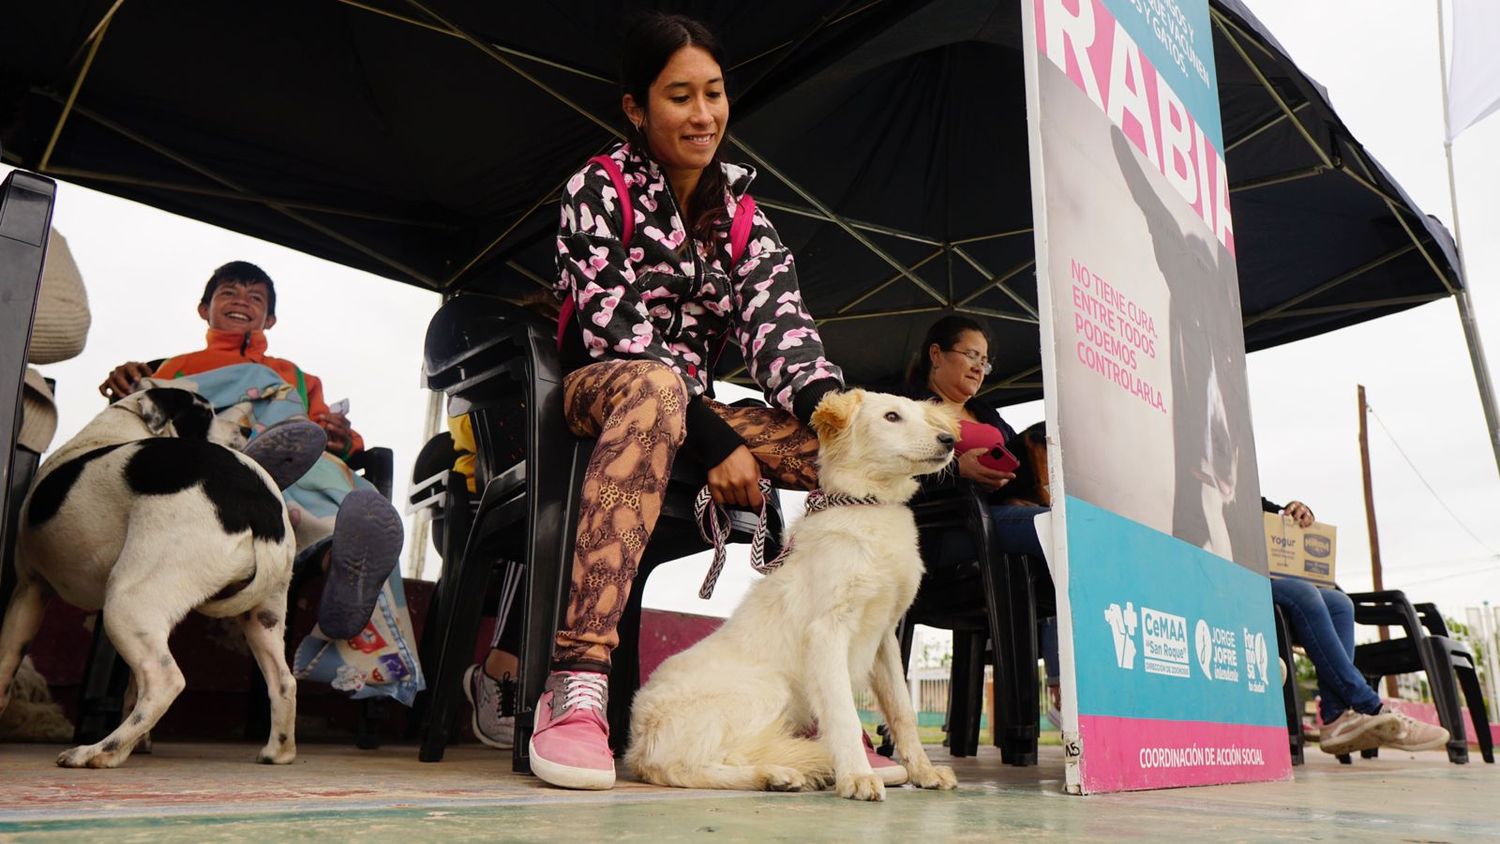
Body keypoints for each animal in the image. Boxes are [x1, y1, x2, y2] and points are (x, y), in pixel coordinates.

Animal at [0, 386, 298, 767]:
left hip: (125, 603)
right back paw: (277, 751)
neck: (118, 428)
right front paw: (143, 741)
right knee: (283, 681)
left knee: (164, 681)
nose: (246, 429)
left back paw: (100, 752)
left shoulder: (29, 590)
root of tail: (258, 503)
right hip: (261, 615)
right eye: (205, 414)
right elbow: (130, 686)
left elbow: (6, 663)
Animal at [624, 386, 960, 803]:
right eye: (892, 417)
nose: (949, 440)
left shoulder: (882, 638)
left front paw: (924, 772)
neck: (868, 506)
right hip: (769, 690)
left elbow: (903, 713)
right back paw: (777, 774)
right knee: (689, 766)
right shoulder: (828, 633)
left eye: (922, 416)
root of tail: (637, 743)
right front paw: (857, 776)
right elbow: (845, 716)